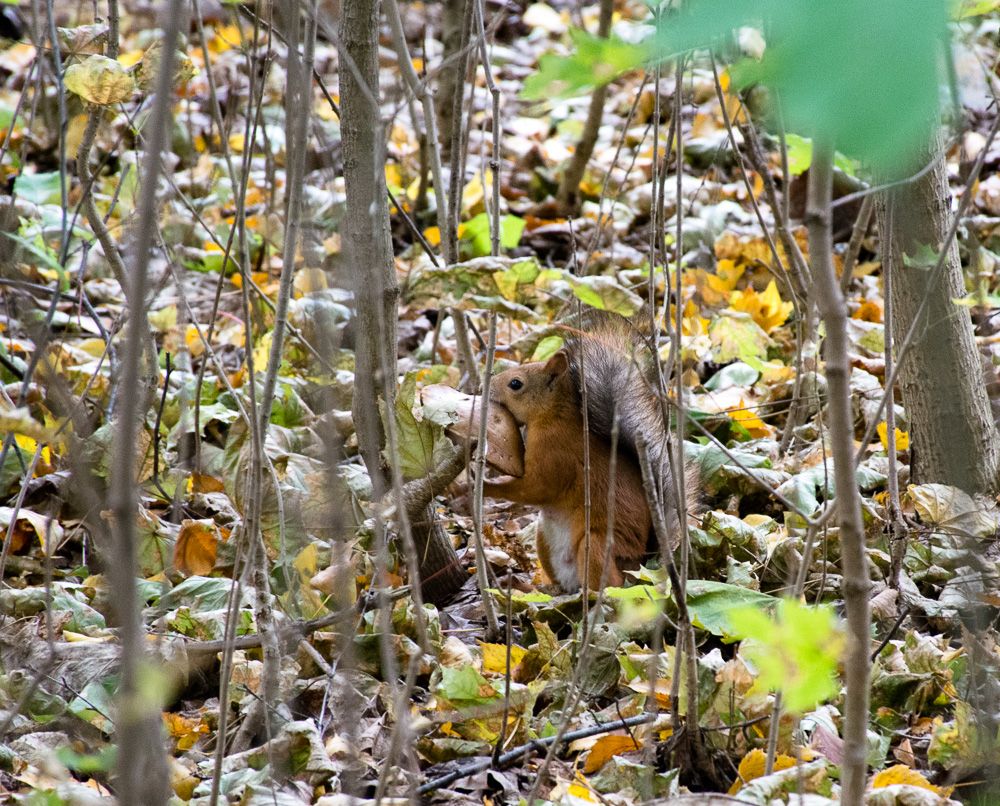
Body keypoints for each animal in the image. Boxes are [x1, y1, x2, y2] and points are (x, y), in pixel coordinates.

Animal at [482, 312, 680, 592]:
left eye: (515, 384)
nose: (484, 387)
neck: (553, 416)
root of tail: (640, 567)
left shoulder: (557, 456)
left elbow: (535, 488)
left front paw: (484, 486)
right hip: (544, 538)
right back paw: (548, 590)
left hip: (597, 545)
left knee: (609, 582)